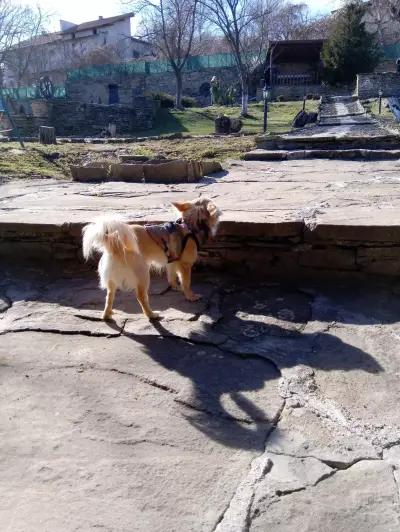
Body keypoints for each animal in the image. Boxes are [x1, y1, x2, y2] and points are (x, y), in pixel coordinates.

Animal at [81, 196, 222, 318]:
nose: (220, 210)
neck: (190, 226)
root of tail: (114, 245)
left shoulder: (172, 262)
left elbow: (172, 276)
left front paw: (176, 287)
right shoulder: (185, 265)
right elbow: (186, 282)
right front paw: (190, 296)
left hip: (112, 280)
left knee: (109, 296)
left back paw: (107, 314)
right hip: (143, 274)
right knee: (141, 297)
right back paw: (152, 315)